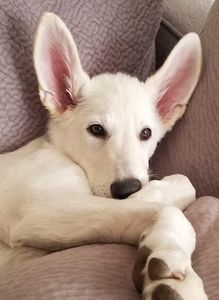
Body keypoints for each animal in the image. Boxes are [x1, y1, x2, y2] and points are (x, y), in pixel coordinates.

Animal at [0, 12, 207, 300]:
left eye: (146, 133)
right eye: (96, 129)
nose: (127, 188)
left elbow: (182, 184)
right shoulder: (38, 211)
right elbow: (168, 206)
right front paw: (175, 272)